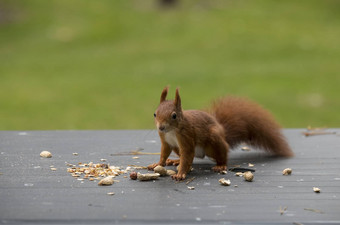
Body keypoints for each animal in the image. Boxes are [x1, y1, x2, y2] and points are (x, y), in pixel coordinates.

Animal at [147, 87, 294, 180]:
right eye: (154, 114)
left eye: (174, 116)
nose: (161, 127)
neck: (171, 131)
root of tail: (223, 133)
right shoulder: (166, 141)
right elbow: (164, 153)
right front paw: (158, 163)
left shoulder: (187, 137)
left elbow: (187, 154)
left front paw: (180, 174)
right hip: (178, 148)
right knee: (189, 158)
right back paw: (176, 160)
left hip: (214, 141)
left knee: (220, 155)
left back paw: (221, 165)